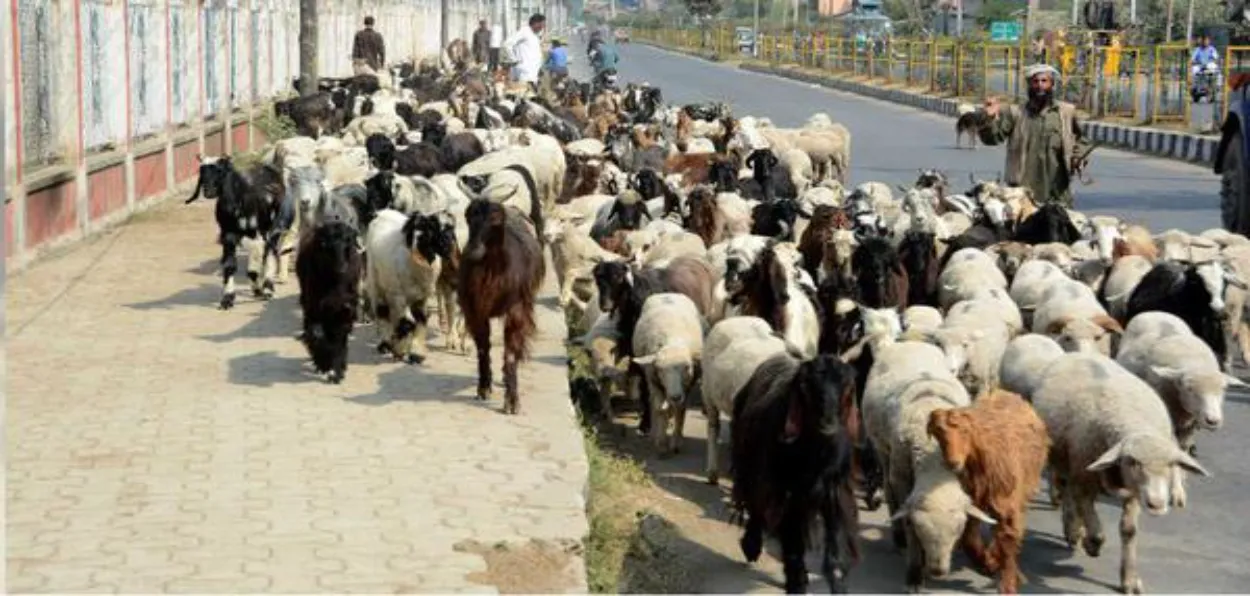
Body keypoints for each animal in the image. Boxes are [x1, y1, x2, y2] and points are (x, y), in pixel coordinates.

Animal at [455, 199, 542, 412]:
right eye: (468, 216)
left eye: (495, 219)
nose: (473, 251)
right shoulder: (475, 311)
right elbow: (482, 348)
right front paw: (483, 388)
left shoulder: (516, 309)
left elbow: (510, 353)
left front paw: (512, 401)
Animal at [730, 352, 865, 589]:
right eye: (806, 386)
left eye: (846, 387)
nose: (827, 422)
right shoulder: (786, 489)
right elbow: (791, 535)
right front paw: (796, 580)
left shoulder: (835, 489)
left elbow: (836, 532)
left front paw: (837, 580)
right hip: (752, 467)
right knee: (756, 506)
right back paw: (751, 546)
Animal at [925, 387, 1050, 592]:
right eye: (938, 432)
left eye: (965, 431)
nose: (952, 462)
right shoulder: (972, 500)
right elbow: (969, 538)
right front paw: (986, 562)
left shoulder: (1007, 502)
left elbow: (1007, 540)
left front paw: (1007, 584)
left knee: (1008, 533)